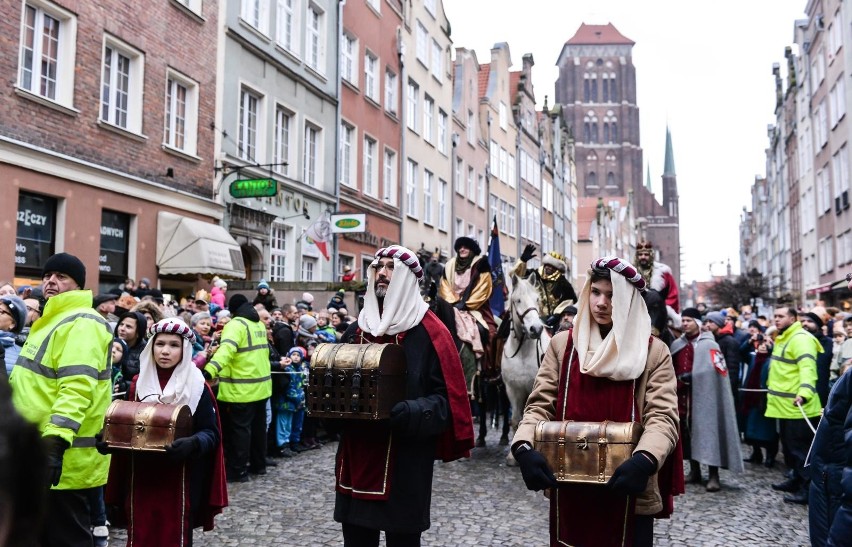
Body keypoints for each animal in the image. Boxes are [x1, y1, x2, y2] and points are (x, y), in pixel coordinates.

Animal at [500, 272, 552, 464]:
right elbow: (516, 420)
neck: (523, 352)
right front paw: (512, 456)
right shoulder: (512, 390)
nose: (535, 328)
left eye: (537, 299)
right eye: (518, 300)